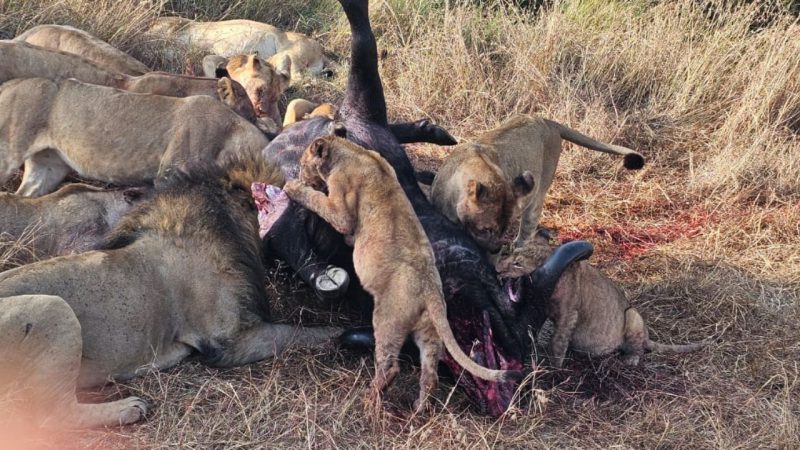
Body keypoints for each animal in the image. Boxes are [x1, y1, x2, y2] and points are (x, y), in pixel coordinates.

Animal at [0, 77, 273, 197]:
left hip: (49, 165)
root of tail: (8, 84)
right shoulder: (172, 173)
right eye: (250, 112)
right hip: (9, 151)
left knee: (24, 195)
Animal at [284, 136, 521, 412]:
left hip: (387, 320)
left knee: (390, 366)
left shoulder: (340, 210)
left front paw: (293, 187)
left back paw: (370, 402)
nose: (300, 173)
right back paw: (419, 408)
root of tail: (431, 292)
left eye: (302, 163)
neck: (353, 152)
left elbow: (318, 201)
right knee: (430, 374)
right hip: (429, 334)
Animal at [428, 114, 645, 253]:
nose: (497, 248)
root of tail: (548, 122)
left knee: (528, 229)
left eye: (503, 230)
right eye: (485, 229)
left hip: (536, 198)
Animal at [496, 232, 706, 367]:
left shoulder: (569, 315)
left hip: (632, 315)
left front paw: (553, 366)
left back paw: (631, 359)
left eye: (518, 264)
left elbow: (558, 341)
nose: (497, 269)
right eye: (511, 251)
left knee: (638, 347)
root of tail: (648, 336)